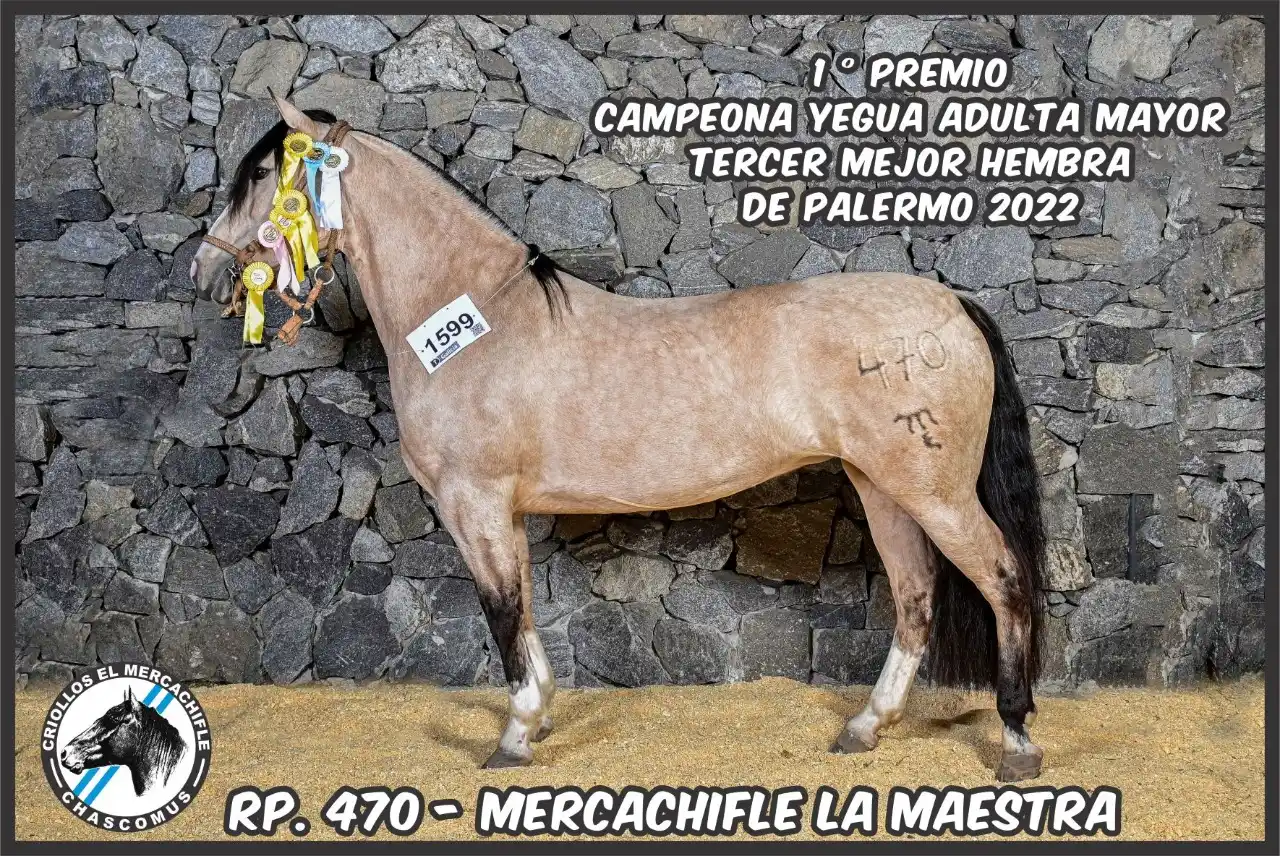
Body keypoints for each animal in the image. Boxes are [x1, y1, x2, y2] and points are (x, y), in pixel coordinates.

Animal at [191, 95, 1047, 782]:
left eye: (263, 174)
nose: (206, 270)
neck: (475, 324)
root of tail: (952, 303)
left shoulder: (475, 505)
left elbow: (502, 614)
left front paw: (512, 738)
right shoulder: (501, 514)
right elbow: (524, 612)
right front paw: (536, 721)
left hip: (933, 490)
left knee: (1003, 578)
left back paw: (1016, 740)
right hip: (884, 487)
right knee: (916, 597)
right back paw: (865, 728)